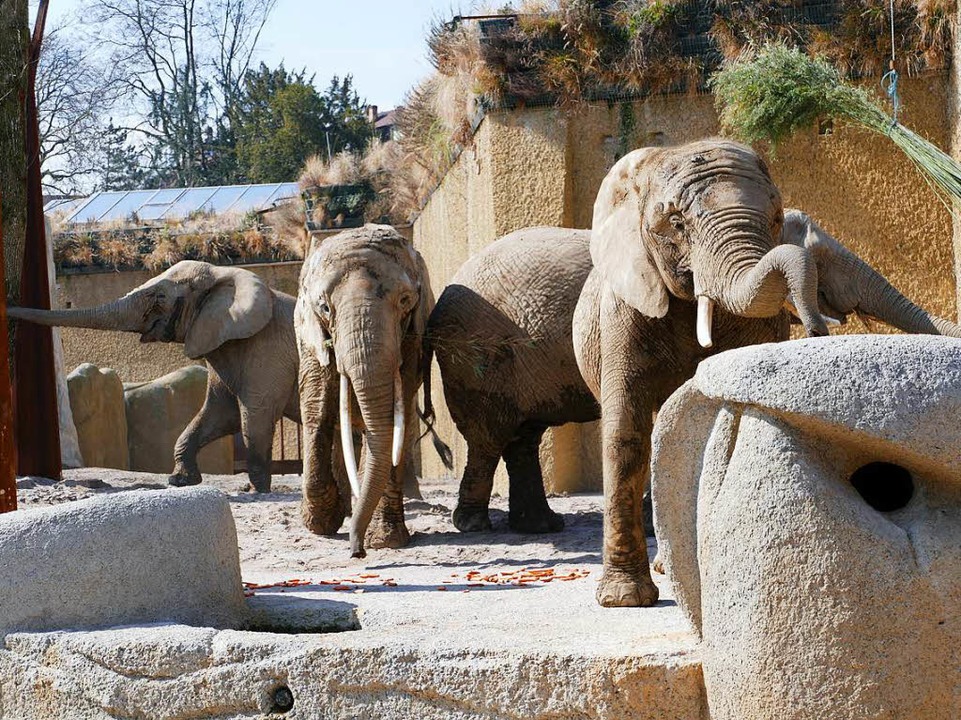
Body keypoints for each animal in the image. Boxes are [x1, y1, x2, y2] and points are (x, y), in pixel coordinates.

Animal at [432, 136, 960, 608]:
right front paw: (625, 601)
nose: (818, 327)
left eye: (773, 219)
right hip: (474, 356)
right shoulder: (622, 305)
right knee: (490, 438)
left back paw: (551, 529)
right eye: (676, 222)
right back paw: (478, 525)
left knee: (523, 437)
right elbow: (627, 428)